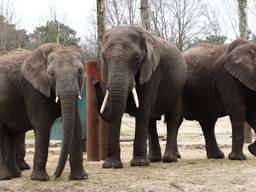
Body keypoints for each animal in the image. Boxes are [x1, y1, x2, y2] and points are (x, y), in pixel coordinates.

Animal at [0, 44, 87, 181]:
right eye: (51, 74)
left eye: (80, 72)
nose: (55, 176)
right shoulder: (32, 89)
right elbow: (42, 125)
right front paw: (40, 179)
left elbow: (76, 125)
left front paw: (80, 178)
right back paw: (6, 177)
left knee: (8, 132)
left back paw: (14, 175)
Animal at [93, 25, 186, 168]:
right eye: (103, 58)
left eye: (136, 58)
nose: (95, 82)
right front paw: (111, 166)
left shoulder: (154, 71)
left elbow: (143, 109)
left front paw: (139, 164)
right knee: (151, 121)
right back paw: (153, 159)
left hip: (177, 88)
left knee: (172, 117)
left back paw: (168, 159)